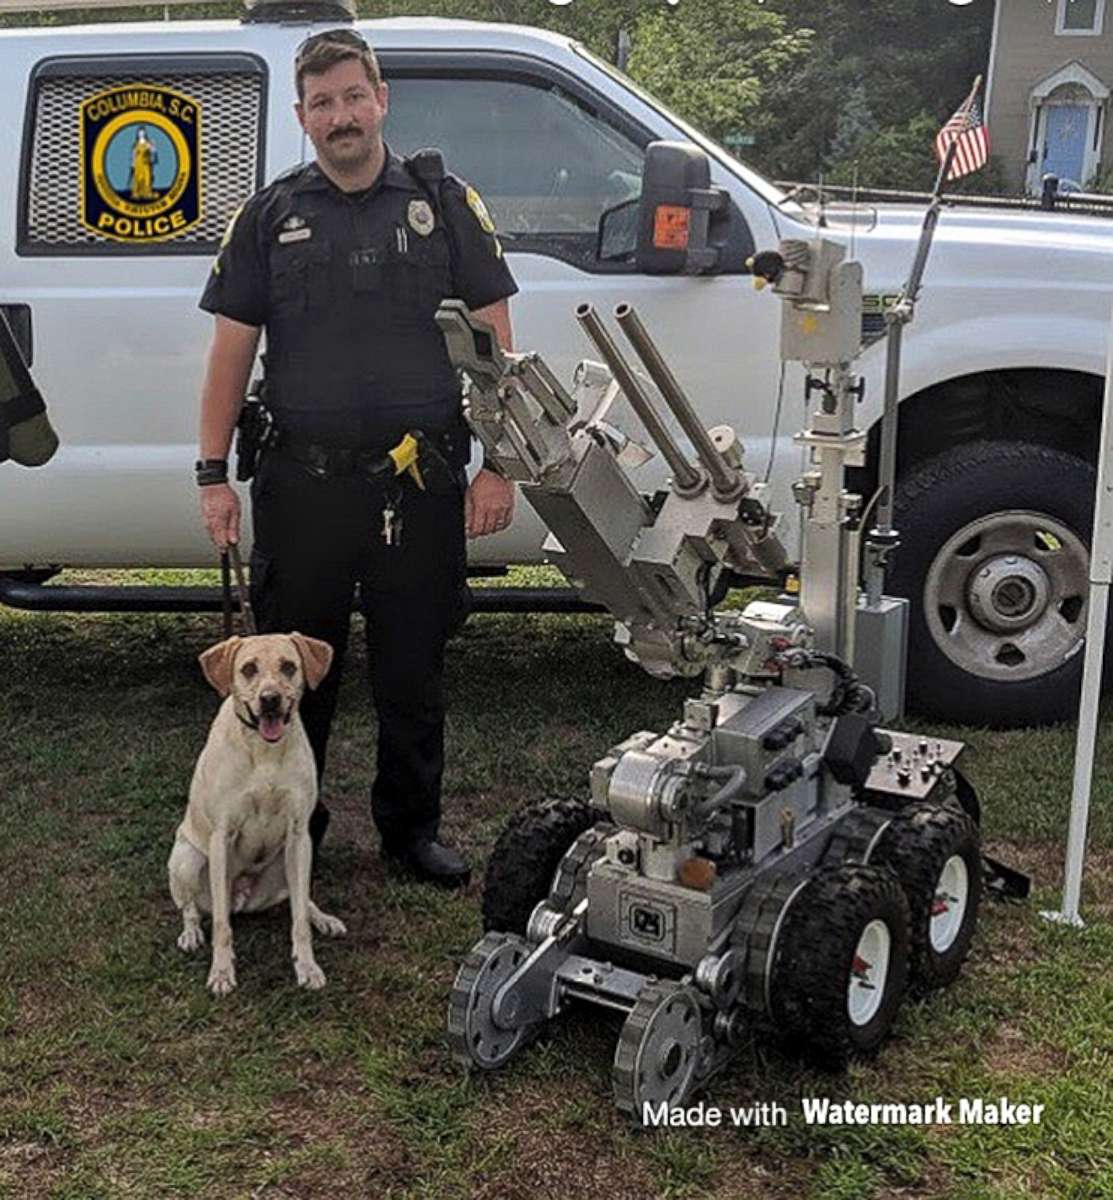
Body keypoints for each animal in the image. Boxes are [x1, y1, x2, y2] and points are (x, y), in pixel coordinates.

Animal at [166, 633, 343, 998]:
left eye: (289, 666)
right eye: (248, 669)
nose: (270, 699)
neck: (265, 751)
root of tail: (243, 900)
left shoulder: (299, 834)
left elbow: (299, 920)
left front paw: (307, 967)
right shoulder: (222, 836)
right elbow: (221, 924)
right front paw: (221, 972)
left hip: (288, 864)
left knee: (302, 900)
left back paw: (324, 919)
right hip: (187, 859)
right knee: (191, 908)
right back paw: (191, 933)